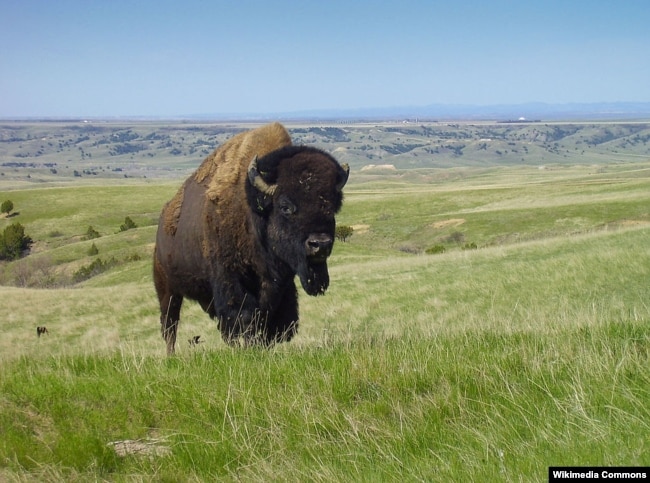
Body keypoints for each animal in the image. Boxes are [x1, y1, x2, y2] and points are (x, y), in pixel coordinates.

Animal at [152, 123, 346, 354]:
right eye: (285, 206)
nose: (320, 244)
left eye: (331, 206)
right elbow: (244, 317)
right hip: (167, 289)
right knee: (169, 325)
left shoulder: (279, 286)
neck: (254, 210)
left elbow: (272, 320)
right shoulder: (231, 279)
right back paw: (171, 355)